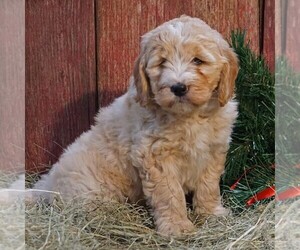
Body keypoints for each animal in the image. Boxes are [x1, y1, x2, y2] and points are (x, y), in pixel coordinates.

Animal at [33, 15, 239, 236]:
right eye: (162, 62)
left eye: (198, 60)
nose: (178, 87)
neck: (188, 117)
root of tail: (48, 183)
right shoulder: (156, 156)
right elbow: (170, 193)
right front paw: (176, 226)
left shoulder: (213, 150)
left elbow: (208, 185)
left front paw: (211, 213)